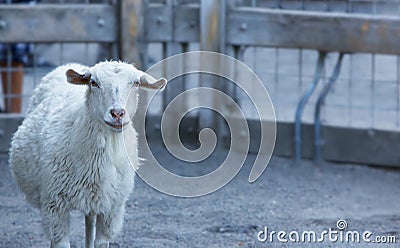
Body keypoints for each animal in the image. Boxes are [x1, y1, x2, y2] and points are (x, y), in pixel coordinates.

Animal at [9, 60, 166, 248]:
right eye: (93, 83)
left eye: (135, 83)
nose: (117, 113)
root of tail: (69, 65)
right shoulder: (54, 205)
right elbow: (61, 243)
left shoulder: (111, 208)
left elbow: (100, 243)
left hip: (94, 198)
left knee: (89, 224)